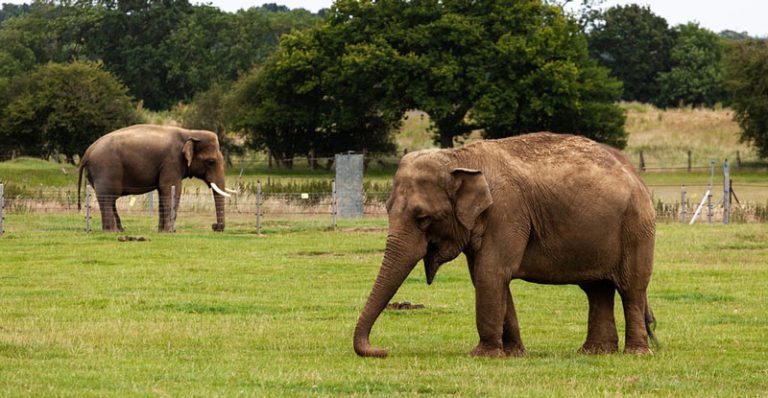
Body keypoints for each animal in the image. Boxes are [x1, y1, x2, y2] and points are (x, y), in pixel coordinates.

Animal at [77, 123, 236, 232]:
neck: (190, 132)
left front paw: (161, 231)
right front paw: (170, 231)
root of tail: (87, 152)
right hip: (106, 168)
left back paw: (119, 231)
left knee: (110, 200)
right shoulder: (171, 161)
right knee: (108, 197)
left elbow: (163, 191)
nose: (214, 227)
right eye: (211, 161)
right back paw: (111, 232)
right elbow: (172, 190)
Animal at [352, 131, 656, 358]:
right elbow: (486, 276)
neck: (459, 156)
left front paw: (482, 355)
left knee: (630, 288)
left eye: (423, 218)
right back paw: (594, 352)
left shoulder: (506, 212)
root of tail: (634, 174)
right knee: (597, 290)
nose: (383, 350)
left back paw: (635, 353)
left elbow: (492, 273)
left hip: (636, 229)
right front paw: (513, 353)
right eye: (387, 209)